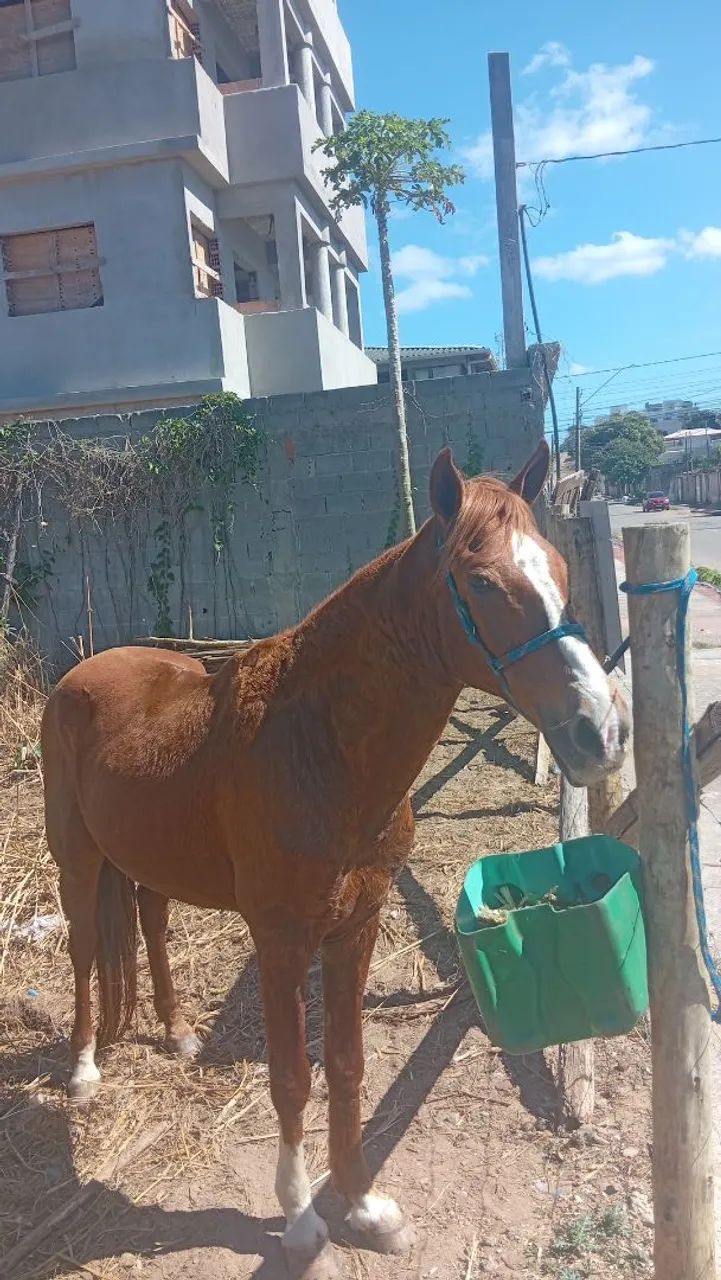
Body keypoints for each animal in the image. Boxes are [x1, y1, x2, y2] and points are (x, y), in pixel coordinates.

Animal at [41, 440, 629, 1279]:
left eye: (554, 564)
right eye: (483, 582)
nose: (598, 732)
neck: (321, 749)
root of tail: (79, 674)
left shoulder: (357, 925)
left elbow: (346, 1067)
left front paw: (360, 1204)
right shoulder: (282, 941)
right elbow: (291, 1079)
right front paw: (300, 1221)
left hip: (149, 861)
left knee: (150, 924)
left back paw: (178, 1031)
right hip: (78, 859)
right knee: (88, 950)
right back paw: (86, 1067)